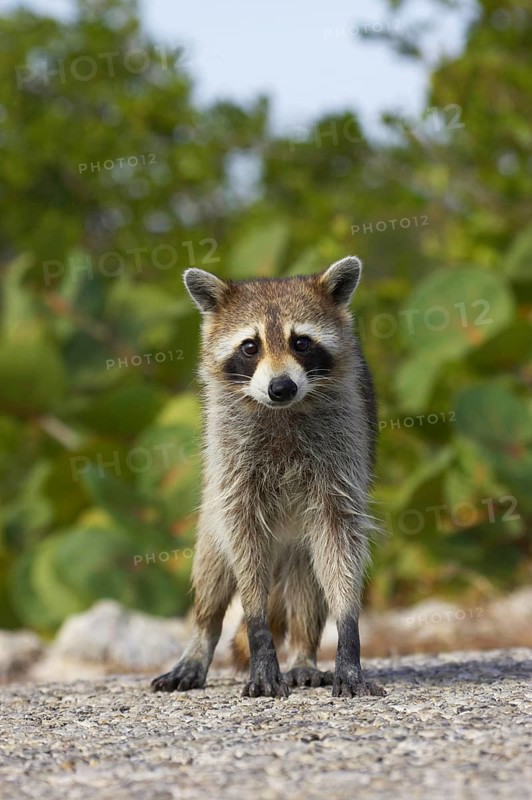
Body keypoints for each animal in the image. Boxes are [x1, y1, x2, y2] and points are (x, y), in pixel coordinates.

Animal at [151, 256, 385, 698]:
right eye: (250, 346)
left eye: (301, 343)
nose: (281, 387)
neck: (282, 412)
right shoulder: (232, 467)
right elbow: (242, 550)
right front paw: (259, 635)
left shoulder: (342, 454)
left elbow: (341, 543)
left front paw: (348, 637)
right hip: (212, 506)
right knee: (212, 570)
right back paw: (200, 641)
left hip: (299, 544)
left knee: (309, 587)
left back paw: (304, 654)